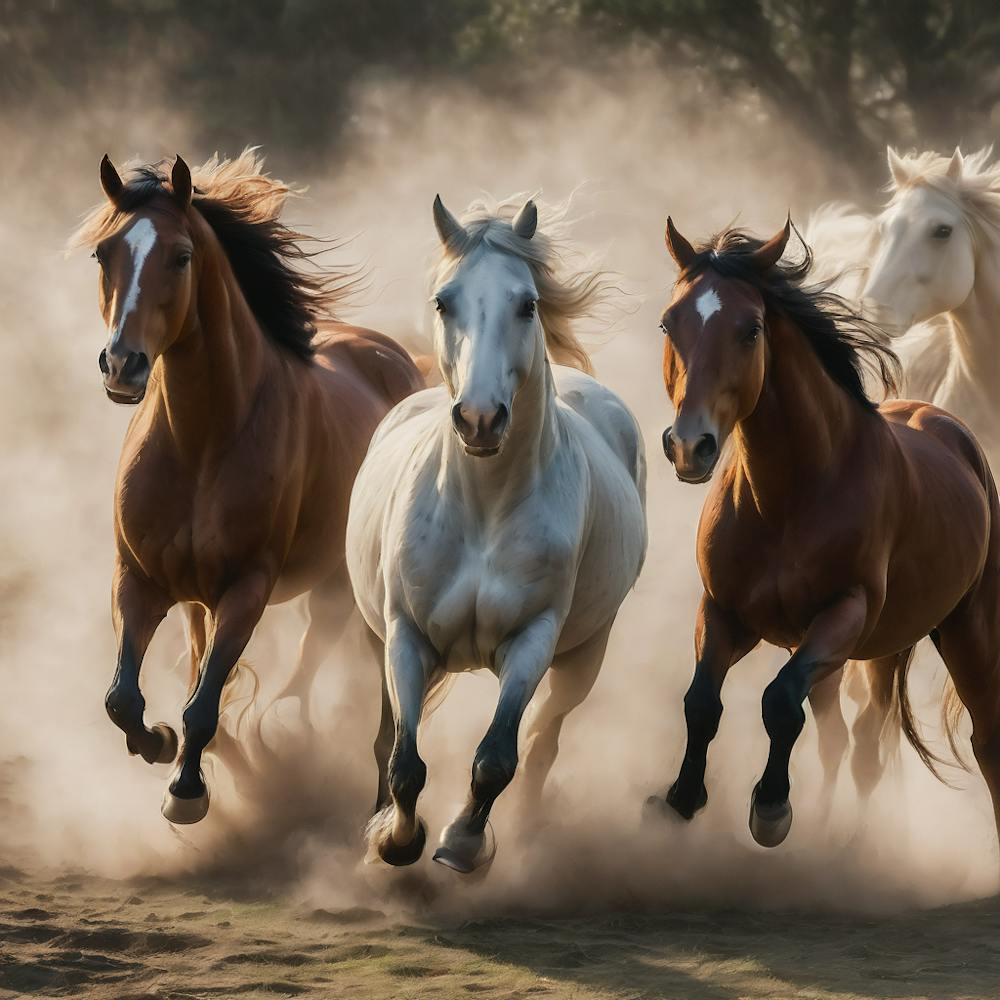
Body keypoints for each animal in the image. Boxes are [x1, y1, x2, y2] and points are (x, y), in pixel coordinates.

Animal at [71, 151, 424, 824]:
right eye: (104, 253)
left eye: (181, 256)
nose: (122, 365)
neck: (203, 442)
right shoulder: (139, 579)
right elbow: (122, 698)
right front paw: (160, 746)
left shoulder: (247, 588)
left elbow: (204, 702)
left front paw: (186, 791)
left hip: (350, 588)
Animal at [346, 194, 646, 873]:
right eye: (444, 301)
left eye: (526, 304)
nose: (480, 420)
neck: (483, 509)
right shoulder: (405, 636)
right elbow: (404, 762)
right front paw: (394, 840)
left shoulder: (533, 639)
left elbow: (496, 759)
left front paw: (461, 844)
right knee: (386, 735)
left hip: (584, 656)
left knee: (543, 741)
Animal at [648, 216, 1000, 852]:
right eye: (669, 322)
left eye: (751, 329)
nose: (690, 446)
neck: (791, 499)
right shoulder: (726, 612)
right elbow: (702, 702)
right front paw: (683, 798)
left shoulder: (844, 614)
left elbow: (780, 701)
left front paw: (771, 809)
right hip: (876, 652)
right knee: (850, 743)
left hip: (967, 637)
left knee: (982, 743)